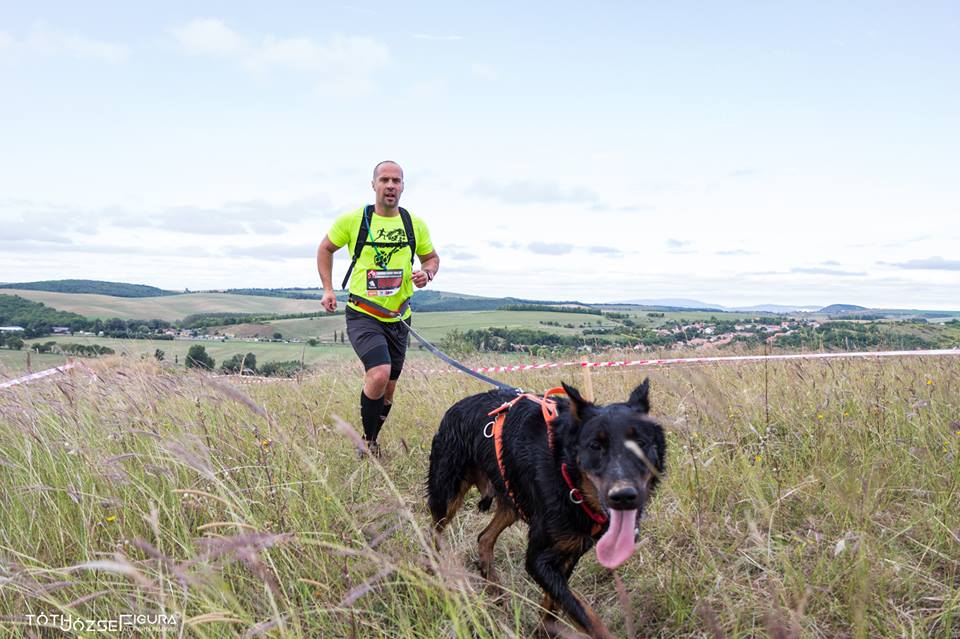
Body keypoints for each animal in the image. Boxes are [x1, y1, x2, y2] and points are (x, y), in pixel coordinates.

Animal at [430, 382, 668, 636]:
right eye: (595, 446)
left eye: (641, 444)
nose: (624, 496)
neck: (565, 471)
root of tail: (456, 407)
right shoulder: (537, 559)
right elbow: (583, 613)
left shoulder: (569, 550)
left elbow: (553, 604)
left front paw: (543, 631)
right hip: (446, 495)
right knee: (434, 534)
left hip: (512, 500)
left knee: (484, 538)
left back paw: (496, 592)